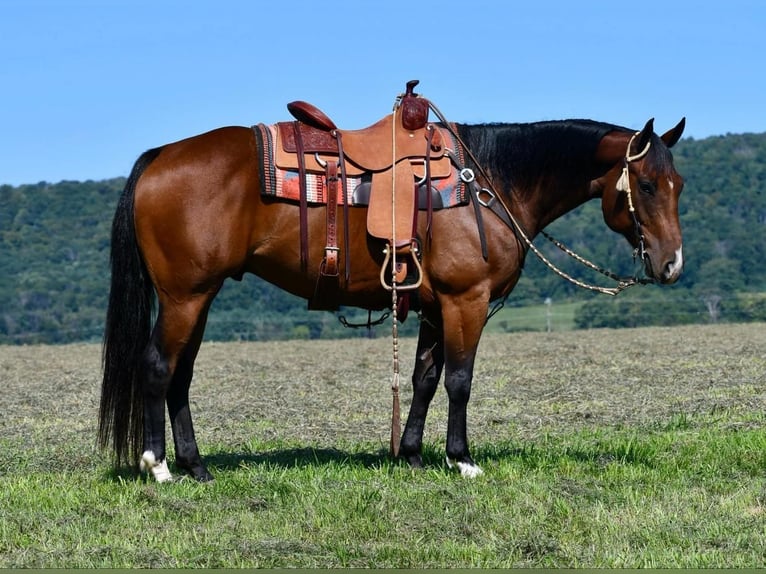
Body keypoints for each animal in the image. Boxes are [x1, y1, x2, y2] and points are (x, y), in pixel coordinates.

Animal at [97, 95, 688, 486]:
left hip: (200, 297)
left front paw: (412, 454)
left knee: (180, 375)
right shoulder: (465, 301)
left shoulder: (433, 305)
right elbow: (459, 381)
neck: (490, 181)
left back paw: (196, 466)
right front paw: (461, 458)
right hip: (185, 297)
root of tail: (160, 156)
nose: (672, 265)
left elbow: (424, 379)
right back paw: (159, 467)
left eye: (678, 185)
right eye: (647, 184)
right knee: (158, 366)